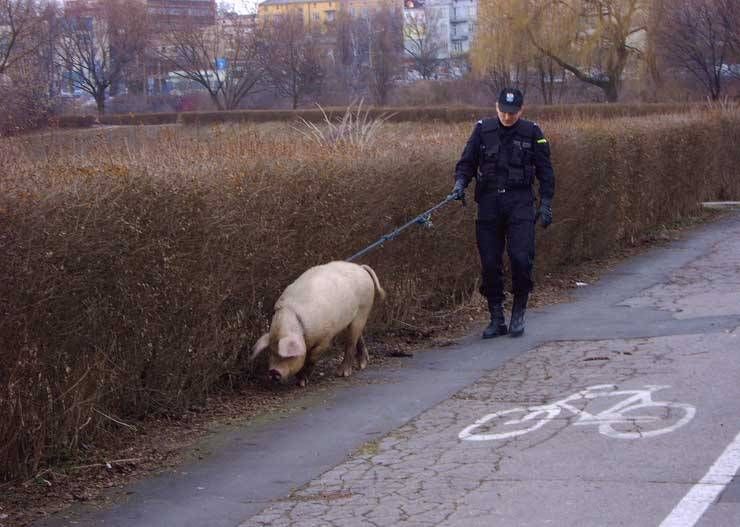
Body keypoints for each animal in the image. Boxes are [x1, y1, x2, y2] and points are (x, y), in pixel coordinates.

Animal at [250, 260, 384, 388]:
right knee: (358, 337)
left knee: (351, 342)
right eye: (271, 351)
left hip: (363, 308)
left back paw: (342, 373)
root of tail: (361, 268)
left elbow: (311, 358)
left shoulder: (325, 337)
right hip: (352, 318)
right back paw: (362, 365)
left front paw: (301, 383)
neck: (300, 328)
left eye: (286, 355)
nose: (273, 372)